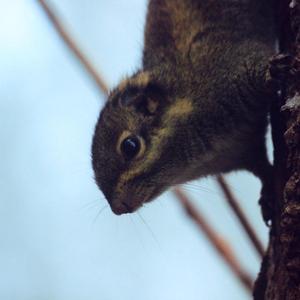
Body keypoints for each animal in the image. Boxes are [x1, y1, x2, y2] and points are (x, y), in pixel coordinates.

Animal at [91, 0, 276, 223]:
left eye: (130, 146)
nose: (118, 208)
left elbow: (262, 65)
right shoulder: (244, 150)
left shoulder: (234, 62)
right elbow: (262, 168)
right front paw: (268, 192)